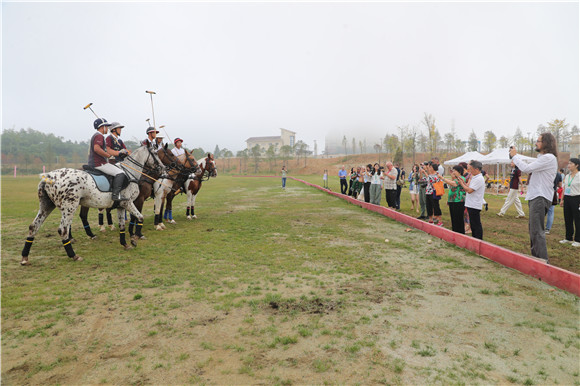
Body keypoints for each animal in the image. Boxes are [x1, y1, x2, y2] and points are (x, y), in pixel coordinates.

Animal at [21, 146, 163, 266]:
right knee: (63, 229)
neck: (129, 172)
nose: (163, 168)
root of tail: (49, 177)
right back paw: (73, 255)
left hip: (47, 205)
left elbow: (122, 225)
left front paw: (125, 244)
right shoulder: (128, 202)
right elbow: (140, 217)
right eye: (156, 153)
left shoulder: (121, 206)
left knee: (34, 226)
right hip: (70, 205)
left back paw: (24, 257)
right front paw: (134, 239)